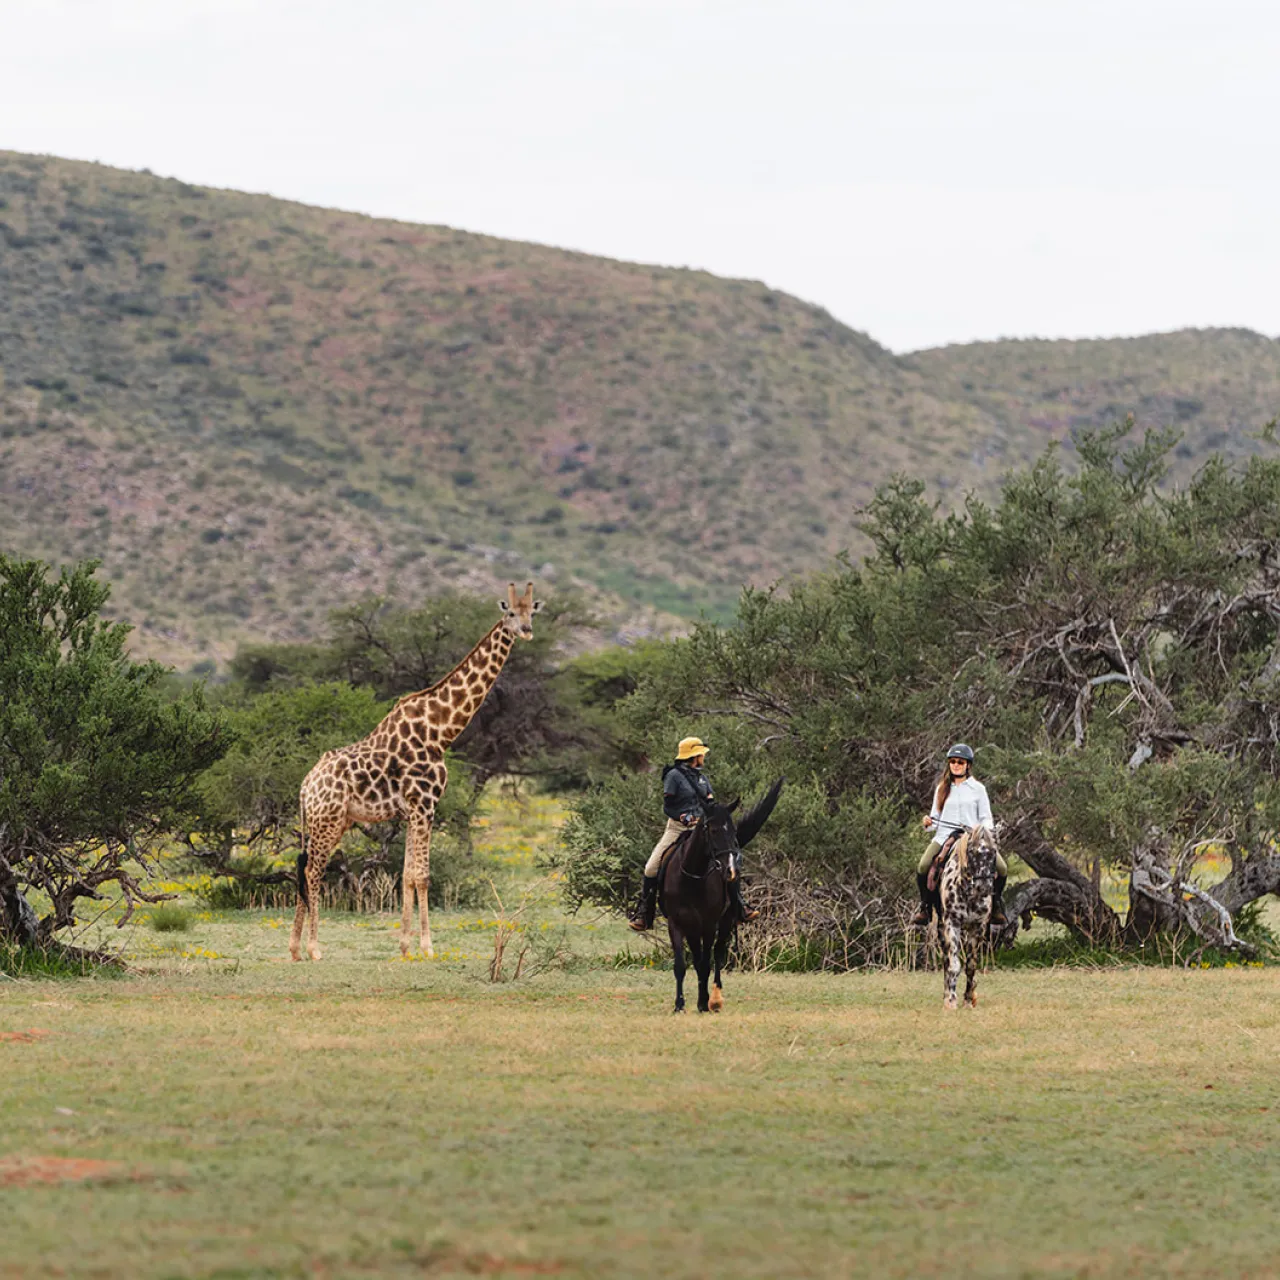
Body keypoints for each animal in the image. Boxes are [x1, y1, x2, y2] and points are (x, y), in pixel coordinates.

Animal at [658, 778, 783, 1013]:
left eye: (733, 831)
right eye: (714, 830)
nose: (731, 870)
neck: (692, 877)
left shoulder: (708, 924)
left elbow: (707, 963)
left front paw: (704, 1002)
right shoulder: (676, 924)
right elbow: (681, 965)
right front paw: (679, 1005)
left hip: (724, 922)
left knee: (718, 953)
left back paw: (715, 999)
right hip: (693, 928)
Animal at [937, 822, 1000, 1009]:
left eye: (994, 852)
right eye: (972, 852)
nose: (984, 887)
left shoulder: (977, 927)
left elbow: (971, 965)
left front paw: (968, 998)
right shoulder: (952, 923)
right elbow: (954, 964)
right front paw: (951, 1000)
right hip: (941, 929)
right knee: (946, 961)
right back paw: (946, 994)